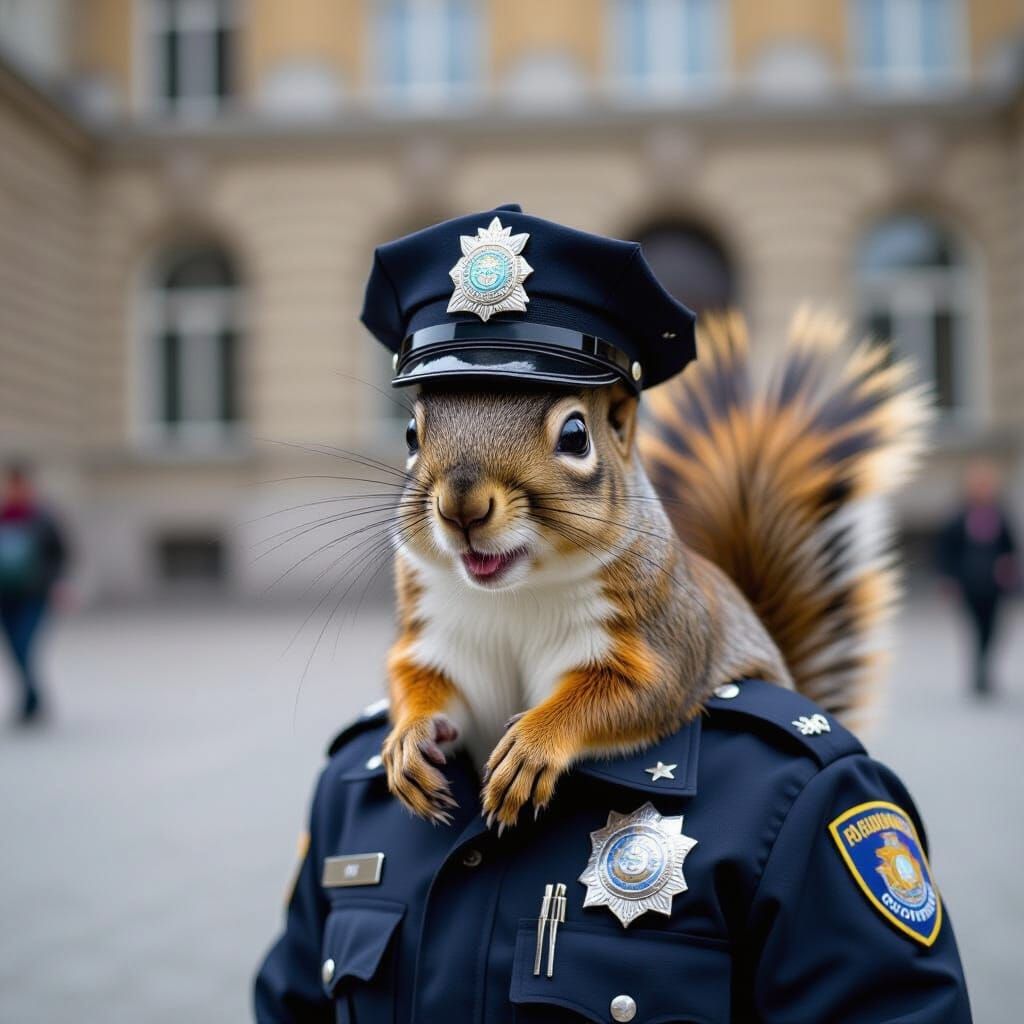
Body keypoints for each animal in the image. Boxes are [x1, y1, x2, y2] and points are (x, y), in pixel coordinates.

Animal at [380, 307, 929, 830]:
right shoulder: (436, 641)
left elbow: (629, 694)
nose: (462, 507)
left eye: (576, 435)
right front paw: (408, 739)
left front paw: (532, 744)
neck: (515, 595)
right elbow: (418, 680)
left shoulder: (664, 640)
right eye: (410, 434)